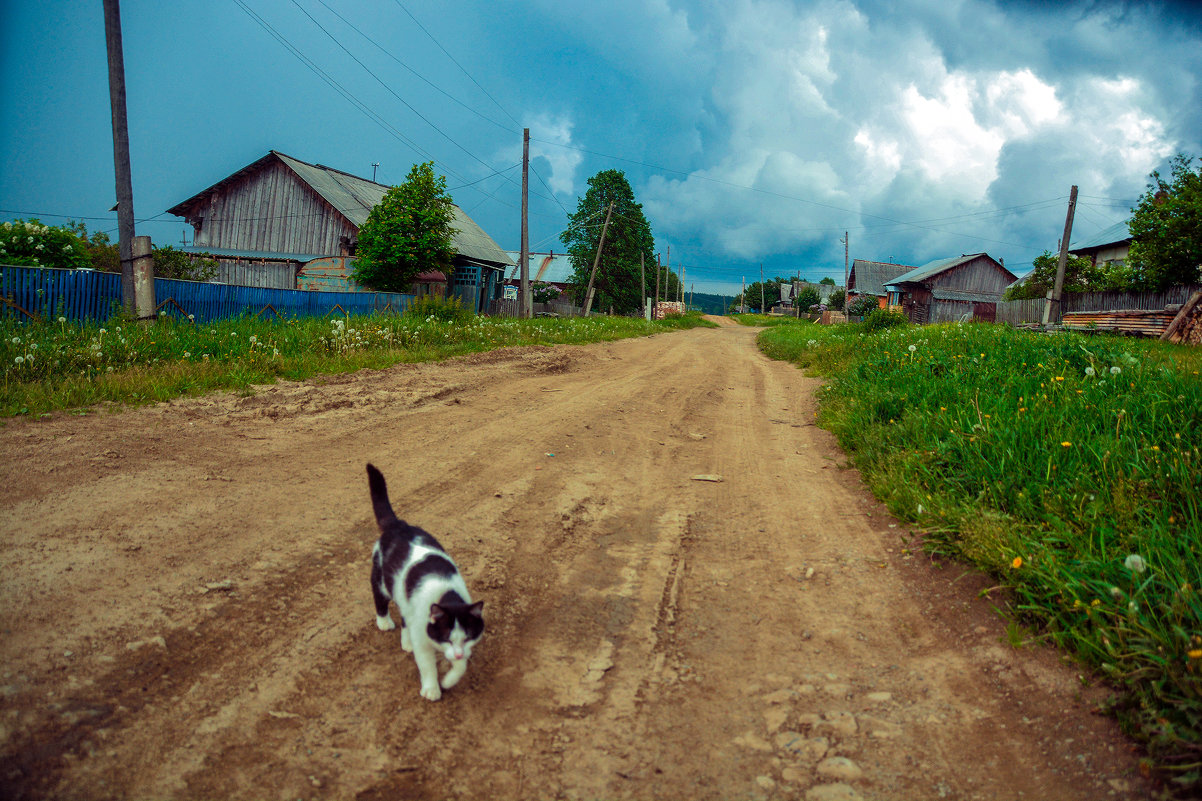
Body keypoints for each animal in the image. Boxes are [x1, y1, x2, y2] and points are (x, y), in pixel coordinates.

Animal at [365, 461, 483, 697]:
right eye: (446, 637)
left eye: (467, 637)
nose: (457, 653)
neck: (446, 595)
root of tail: (398, 524)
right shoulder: (424, 638)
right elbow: (427, 665)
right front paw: (432, 689)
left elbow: (461, 665)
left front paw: (449, 679)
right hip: (382, 579)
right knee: (379, 597)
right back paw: (384, 622)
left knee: (404, 615)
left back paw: (406, 640)